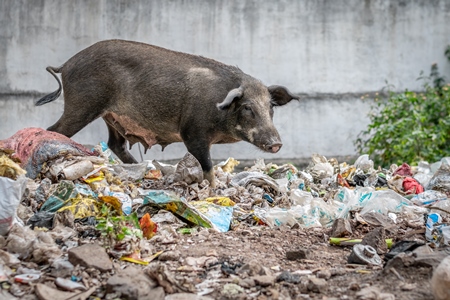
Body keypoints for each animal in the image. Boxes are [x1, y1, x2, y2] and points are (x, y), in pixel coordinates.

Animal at [37, 39, 298, 186]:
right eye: (247, 107)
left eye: (271, 107)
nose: (276, 144)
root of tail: (66, 64)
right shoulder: (192, 132)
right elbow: (207, 166)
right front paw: (215, 190)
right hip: (83, 104)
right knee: (53, 130)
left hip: (111, 116)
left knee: (115, 145)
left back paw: (144, 171)